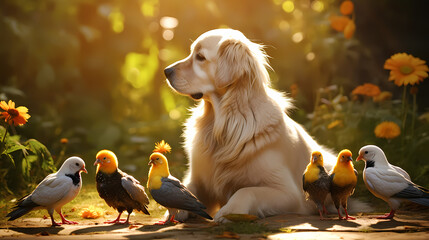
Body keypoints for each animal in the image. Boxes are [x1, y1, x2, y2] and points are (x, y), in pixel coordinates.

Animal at [162, 28, 362, 223]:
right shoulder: (198, 177)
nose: (166, 71)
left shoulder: (289, 192)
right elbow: (183, 187)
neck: (223, 122)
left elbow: (246, 190)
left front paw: (230, 211)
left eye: (200, 57)